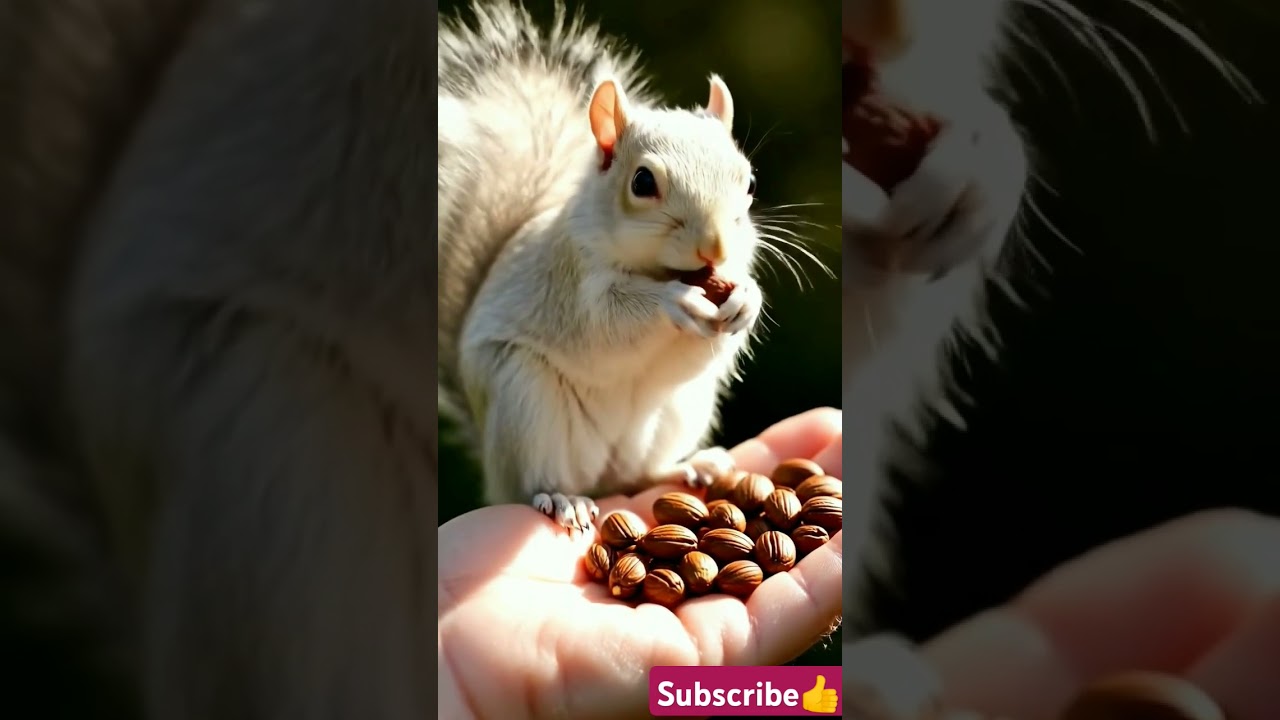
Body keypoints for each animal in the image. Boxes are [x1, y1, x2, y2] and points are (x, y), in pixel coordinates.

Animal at [439, 1, 765, 532]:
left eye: (750, 181)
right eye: (642, 182)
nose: (714, 248)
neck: (657, 268)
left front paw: (746, 300)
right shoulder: (572, 281)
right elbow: (606, 322)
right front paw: (674, 302)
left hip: (678, 411)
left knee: (639, 474)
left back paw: (689, 466)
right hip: (525, 400)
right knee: (536, 482)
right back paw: (562, 498)